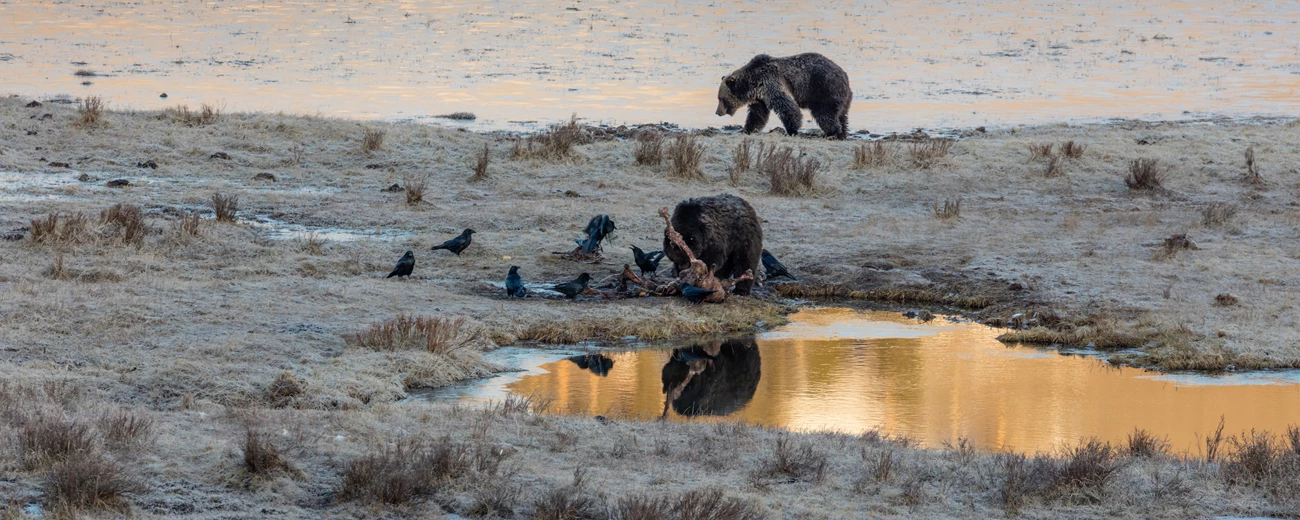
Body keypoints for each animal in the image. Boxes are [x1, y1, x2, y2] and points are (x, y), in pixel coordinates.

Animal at [715, 53, 852, 140]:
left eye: (721, 99)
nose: (717, 112)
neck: (753, 84)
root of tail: (845, 76)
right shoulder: (761, 99)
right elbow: (757, 115)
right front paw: (747, 129)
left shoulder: (771, 83)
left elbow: (787, 106)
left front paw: (792, 130)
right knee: (841, 115)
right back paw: (842, 133)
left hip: (824, 89)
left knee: (824, 113)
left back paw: (830, 133)